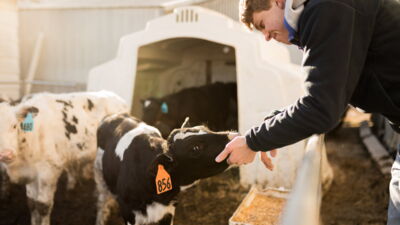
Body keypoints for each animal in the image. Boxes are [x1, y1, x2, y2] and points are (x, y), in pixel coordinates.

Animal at [0, 90, 127, 225]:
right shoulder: (31, 175)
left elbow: (43, 206)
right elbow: (32, 204)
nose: (6, 153)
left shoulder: (49, 172)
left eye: (14, 126)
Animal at [94, 113, 238, 225]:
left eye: (206, 128)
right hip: (99, 175)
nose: (233, 136)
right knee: (102, 202)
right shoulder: (128, 212)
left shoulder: (167, 212)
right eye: (195, 148)